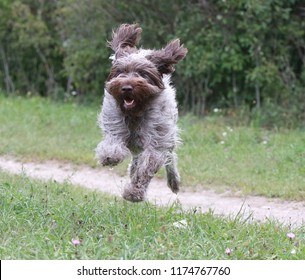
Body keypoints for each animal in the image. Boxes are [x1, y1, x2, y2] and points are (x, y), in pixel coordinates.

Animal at [95, 22, 186, 201]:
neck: (135, 113)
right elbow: (112, 143)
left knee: (170, 157)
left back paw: (174, 182)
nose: (126, 88)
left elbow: (147, 166)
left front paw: (134, 193)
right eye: (121, 72)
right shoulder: (114, 122)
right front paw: (111, 156)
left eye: (142, 73)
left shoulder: (156, 141)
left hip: (167, 137)